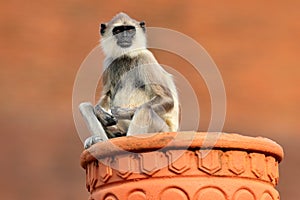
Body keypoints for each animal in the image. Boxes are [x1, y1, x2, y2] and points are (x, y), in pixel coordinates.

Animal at [78, 11, 179, 148]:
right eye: (118, 30)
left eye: (130, 30)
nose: (125, 36)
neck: (126, 56)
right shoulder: (109, 62)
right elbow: (107, 95)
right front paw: (99, 112)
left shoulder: (146, 58)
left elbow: (166, 98)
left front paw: (121, 112)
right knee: (85, 106)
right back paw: (100, 141)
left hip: (163, 131)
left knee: (144, 109)